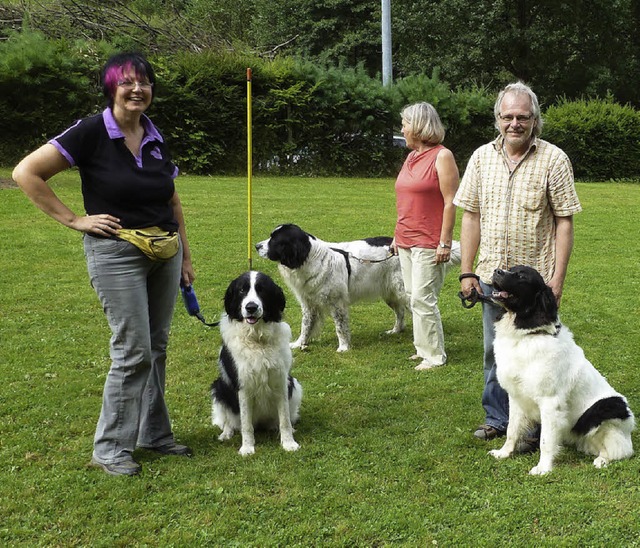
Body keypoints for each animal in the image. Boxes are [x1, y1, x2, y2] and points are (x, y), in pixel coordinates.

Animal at [209, 272, 302, 456]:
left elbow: (285, 419)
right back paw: (226, 434)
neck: (257, 338)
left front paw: (289, 443)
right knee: (229, 421)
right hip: (219, 387)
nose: (251, 307)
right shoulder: (243, 385)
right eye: (242, 290)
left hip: (294, 384)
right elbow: (246, 423)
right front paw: (247, 447)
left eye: (262, 290)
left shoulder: (281, 380)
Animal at [252, 223, 408, 352]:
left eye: (275, 240)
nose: (256, 246)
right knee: (400, 312)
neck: (311, 258)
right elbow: (306, 325)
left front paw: (343, 347)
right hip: (390, 293)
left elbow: (340, 326)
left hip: (402, 290)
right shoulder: (309, 303)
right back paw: (396, 330)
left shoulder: (337, 303)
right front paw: (299, 343)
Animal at [488, 264, 632, 474]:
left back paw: (602, 460)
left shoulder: (550, 401)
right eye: (510, 268)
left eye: (521, 276)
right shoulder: (515, 396)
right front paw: (504, 453)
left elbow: (545, 441)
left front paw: (543, 468)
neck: (528, 333)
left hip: (607, 407)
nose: (497, 271)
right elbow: (512, 430)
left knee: (621, 449)